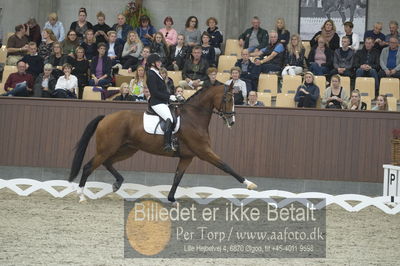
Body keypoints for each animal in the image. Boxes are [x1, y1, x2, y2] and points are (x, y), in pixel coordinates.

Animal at [68, 84, 256, 202]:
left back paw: (117, 183)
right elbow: (226, 166)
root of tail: (106, 117)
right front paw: (249, 184)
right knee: (89, 166)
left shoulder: (187, 157)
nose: (232, 122)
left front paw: (172, 199)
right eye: (228, 99)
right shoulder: (204, 151)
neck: (194, 117)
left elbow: (177, 177)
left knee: (108, 162)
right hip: (106, 149)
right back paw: (81, 196)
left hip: (127, 149)